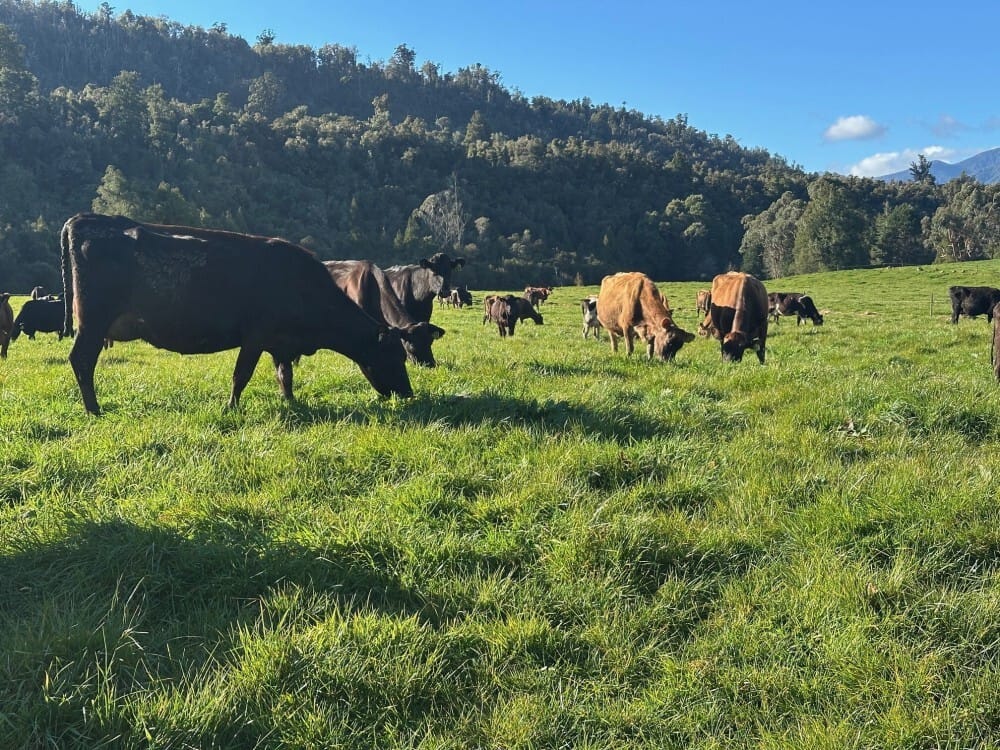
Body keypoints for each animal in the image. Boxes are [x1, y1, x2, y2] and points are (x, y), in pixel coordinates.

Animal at [60, 213, 413, 415]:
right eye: (395, 356)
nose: (408, 394)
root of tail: (84, 219)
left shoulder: (281, 342)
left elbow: (284, 374)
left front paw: (290, 401)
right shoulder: (256, 335)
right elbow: (241, 374)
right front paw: (231, 408)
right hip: (92, 322)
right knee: (82, 361)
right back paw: (94, 410)